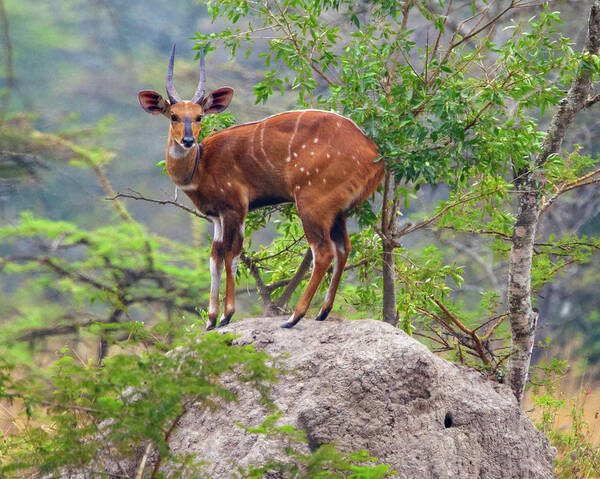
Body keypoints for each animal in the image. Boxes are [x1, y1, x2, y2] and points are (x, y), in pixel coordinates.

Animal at [139, 46, 384, 330]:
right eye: (174, 116)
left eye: (199, 116)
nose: (188, 140)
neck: (200, 166)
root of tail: (374, 154)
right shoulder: (216, 216)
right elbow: (214, 257)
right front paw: (210, 320)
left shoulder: (235, 207)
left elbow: (232, 254)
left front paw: (226, 315)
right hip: (338, 213)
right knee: (344, 248)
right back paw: (322, 312)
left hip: (312, 204)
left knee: (324, 252)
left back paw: (293, 317)